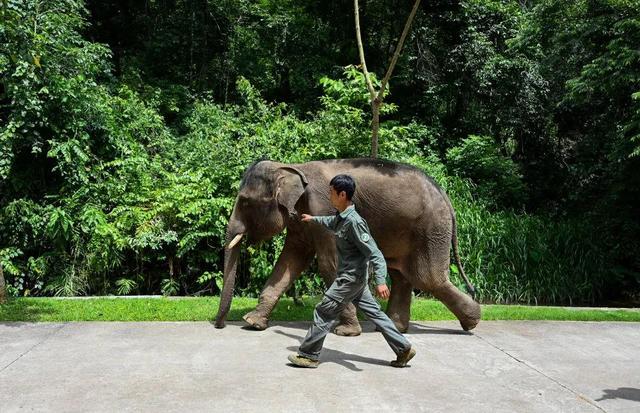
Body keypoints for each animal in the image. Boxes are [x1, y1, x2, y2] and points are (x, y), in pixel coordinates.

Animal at [215, 156, 480, 334]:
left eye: (245, 202)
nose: (219, 326)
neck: (293, 167)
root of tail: (444, 194)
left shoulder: (322, 206)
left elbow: (328, 264)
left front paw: (346, 332)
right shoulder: (300, 220)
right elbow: (290, 261)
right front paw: (252, 322)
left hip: (430, 230)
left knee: (428, 277)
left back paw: (472, 322)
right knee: (402, 275)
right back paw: (394, 327)